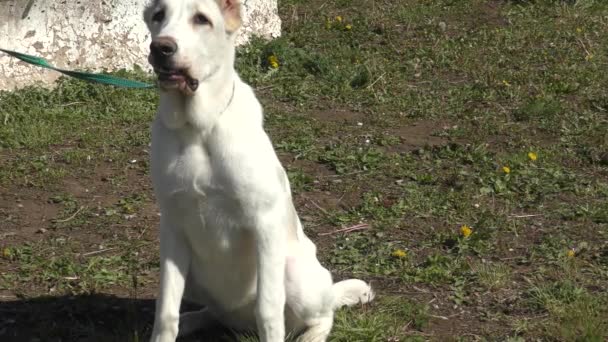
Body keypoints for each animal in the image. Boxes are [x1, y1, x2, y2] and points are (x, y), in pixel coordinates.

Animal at [144, 1, 372, 340]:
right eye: (158, 16)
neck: (198, 128)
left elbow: (268, 308)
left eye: (202, 19)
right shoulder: (173, 228)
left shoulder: (264, 224)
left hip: (295, 274)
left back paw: (311, 334)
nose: (161, 48)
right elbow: (166, 310)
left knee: (324, 313)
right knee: (213, 312)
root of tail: (241, 324)